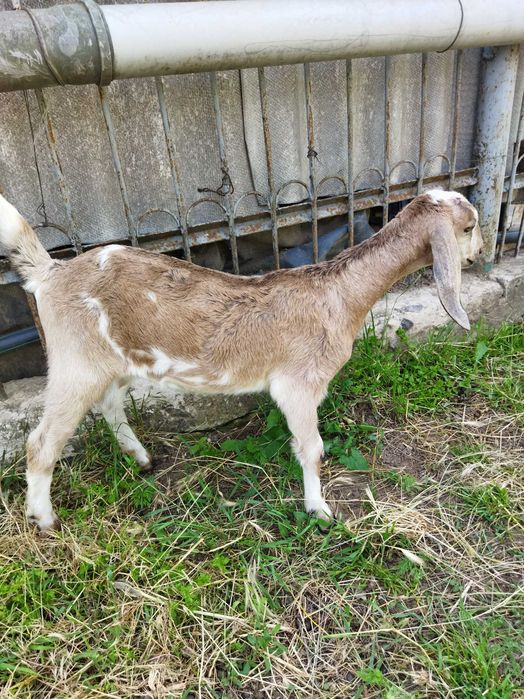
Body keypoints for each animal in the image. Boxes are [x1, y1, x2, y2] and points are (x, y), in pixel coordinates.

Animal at [0, 190, 483, 532]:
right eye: (469, 226)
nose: (480, 252)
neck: (338, 293)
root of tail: (51, 273)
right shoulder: (298, 384)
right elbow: (313, 449)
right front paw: (319, 510)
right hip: (74, 362)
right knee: (41, 444)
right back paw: (45, 520)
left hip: (114, 361)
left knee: (109, 405)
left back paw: (142, 460)